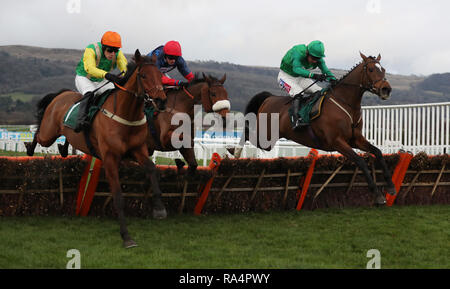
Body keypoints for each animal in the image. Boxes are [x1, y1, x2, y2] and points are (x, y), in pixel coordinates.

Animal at [25, 49, 169, 248]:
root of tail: (60, 95)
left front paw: (159, 209)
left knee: (65, 139)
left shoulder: (137, 150)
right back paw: (30, 147)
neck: (126, 114)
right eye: (143, 75)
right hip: (48, 134)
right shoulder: (110, 158)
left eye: (160, 76)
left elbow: (152, 169)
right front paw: (126, 236)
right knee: (38, 133)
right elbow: (118, 197)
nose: (161, 102)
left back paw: (63, 148)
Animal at [234, 51, 396, 205]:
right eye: (371, 69)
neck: (345, 103)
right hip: (266, 137)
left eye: (383, 69)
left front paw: (391, 187)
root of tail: (268, 98)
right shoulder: (337, 142)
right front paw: (377, 194)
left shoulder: (355, 139)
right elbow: (360, 161)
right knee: (247, 133)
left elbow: (378, 152)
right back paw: (234, 152)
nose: (386, 89)